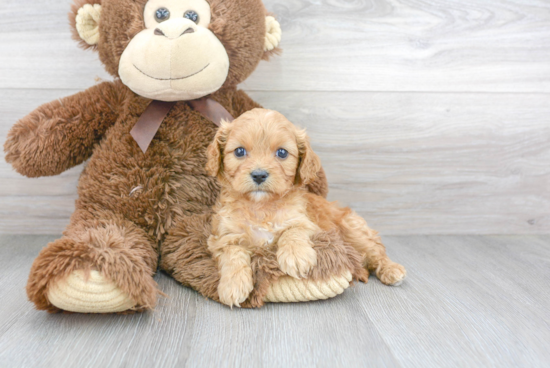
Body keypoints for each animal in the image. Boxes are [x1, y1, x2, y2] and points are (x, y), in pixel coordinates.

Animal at [206, 109, 406, 308]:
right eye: (239, 151)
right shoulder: (223, 237)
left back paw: (392, 269)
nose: (259, 175)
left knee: (376, 252)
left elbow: (293, 230)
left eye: (282, 153)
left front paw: (295, 256)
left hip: (353, 229)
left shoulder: (308, 224)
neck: (261, 206)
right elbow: (233, 253)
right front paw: (233, 285)